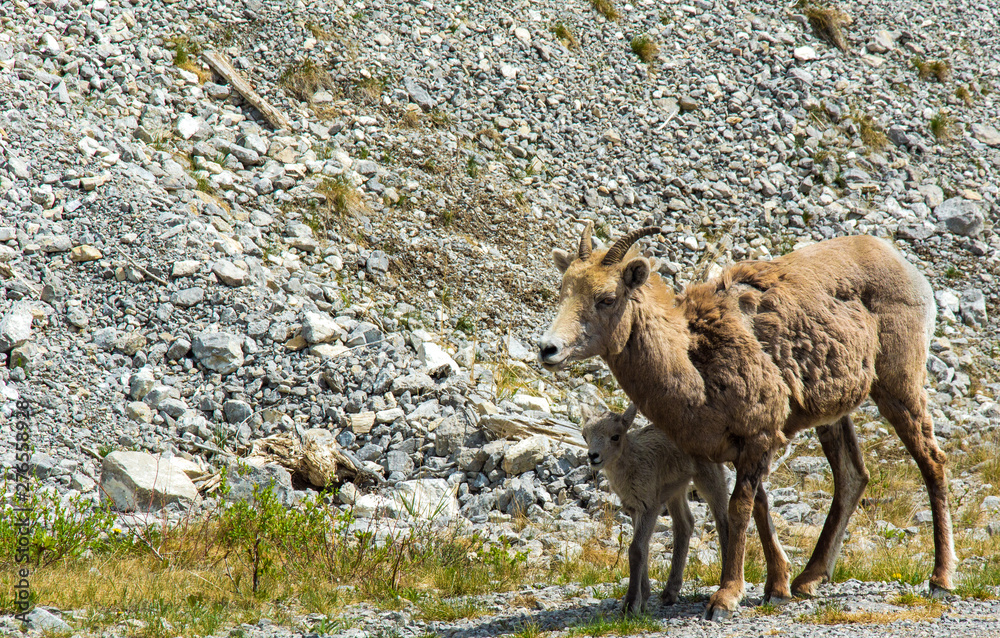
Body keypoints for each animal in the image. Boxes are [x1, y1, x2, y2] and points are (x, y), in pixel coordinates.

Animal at [582, 403, 730, 614]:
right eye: (584, 435)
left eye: (615, 436)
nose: (593, 456)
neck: (633, 465)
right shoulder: (634, 508)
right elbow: (643, 549)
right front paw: (643, 598)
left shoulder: (649, 507)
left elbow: (636, 550)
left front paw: (629, 605)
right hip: (676, 489)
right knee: (685, 524)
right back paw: (670, 593)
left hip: (708, 475)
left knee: (723, 521)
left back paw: (723, 581)